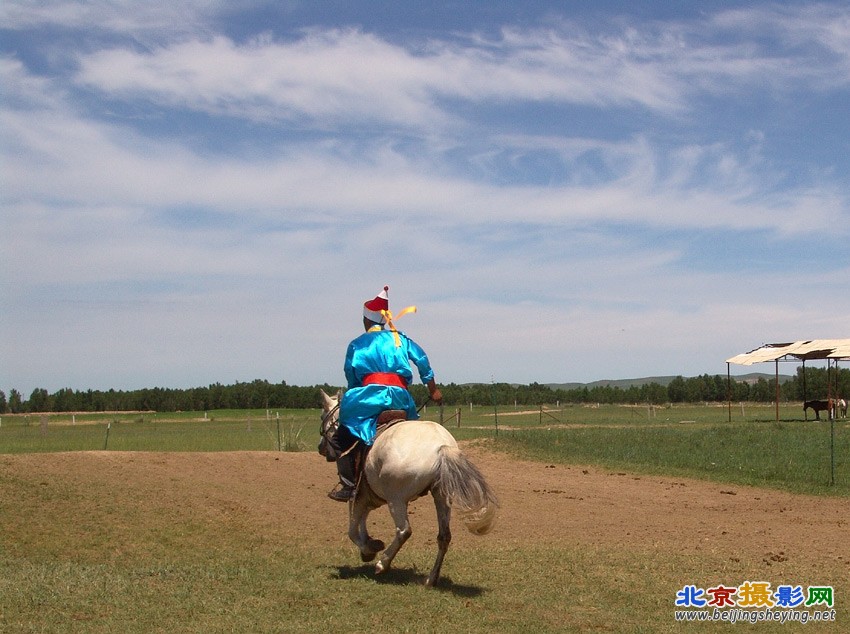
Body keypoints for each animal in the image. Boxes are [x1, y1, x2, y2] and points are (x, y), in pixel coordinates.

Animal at [322, 388, 500, 584]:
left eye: (324, 415)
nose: (322, 448)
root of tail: (441, 446)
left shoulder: (359, 496)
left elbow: (353, 530)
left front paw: (368, 550)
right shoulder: (369, 498)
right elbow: (361, 521)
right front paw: (370, 543)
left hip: (396, 500)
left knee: (404, 531)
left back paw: (383, 564)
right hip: (441, 497)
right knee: (444, 536)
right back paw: (431, 579)